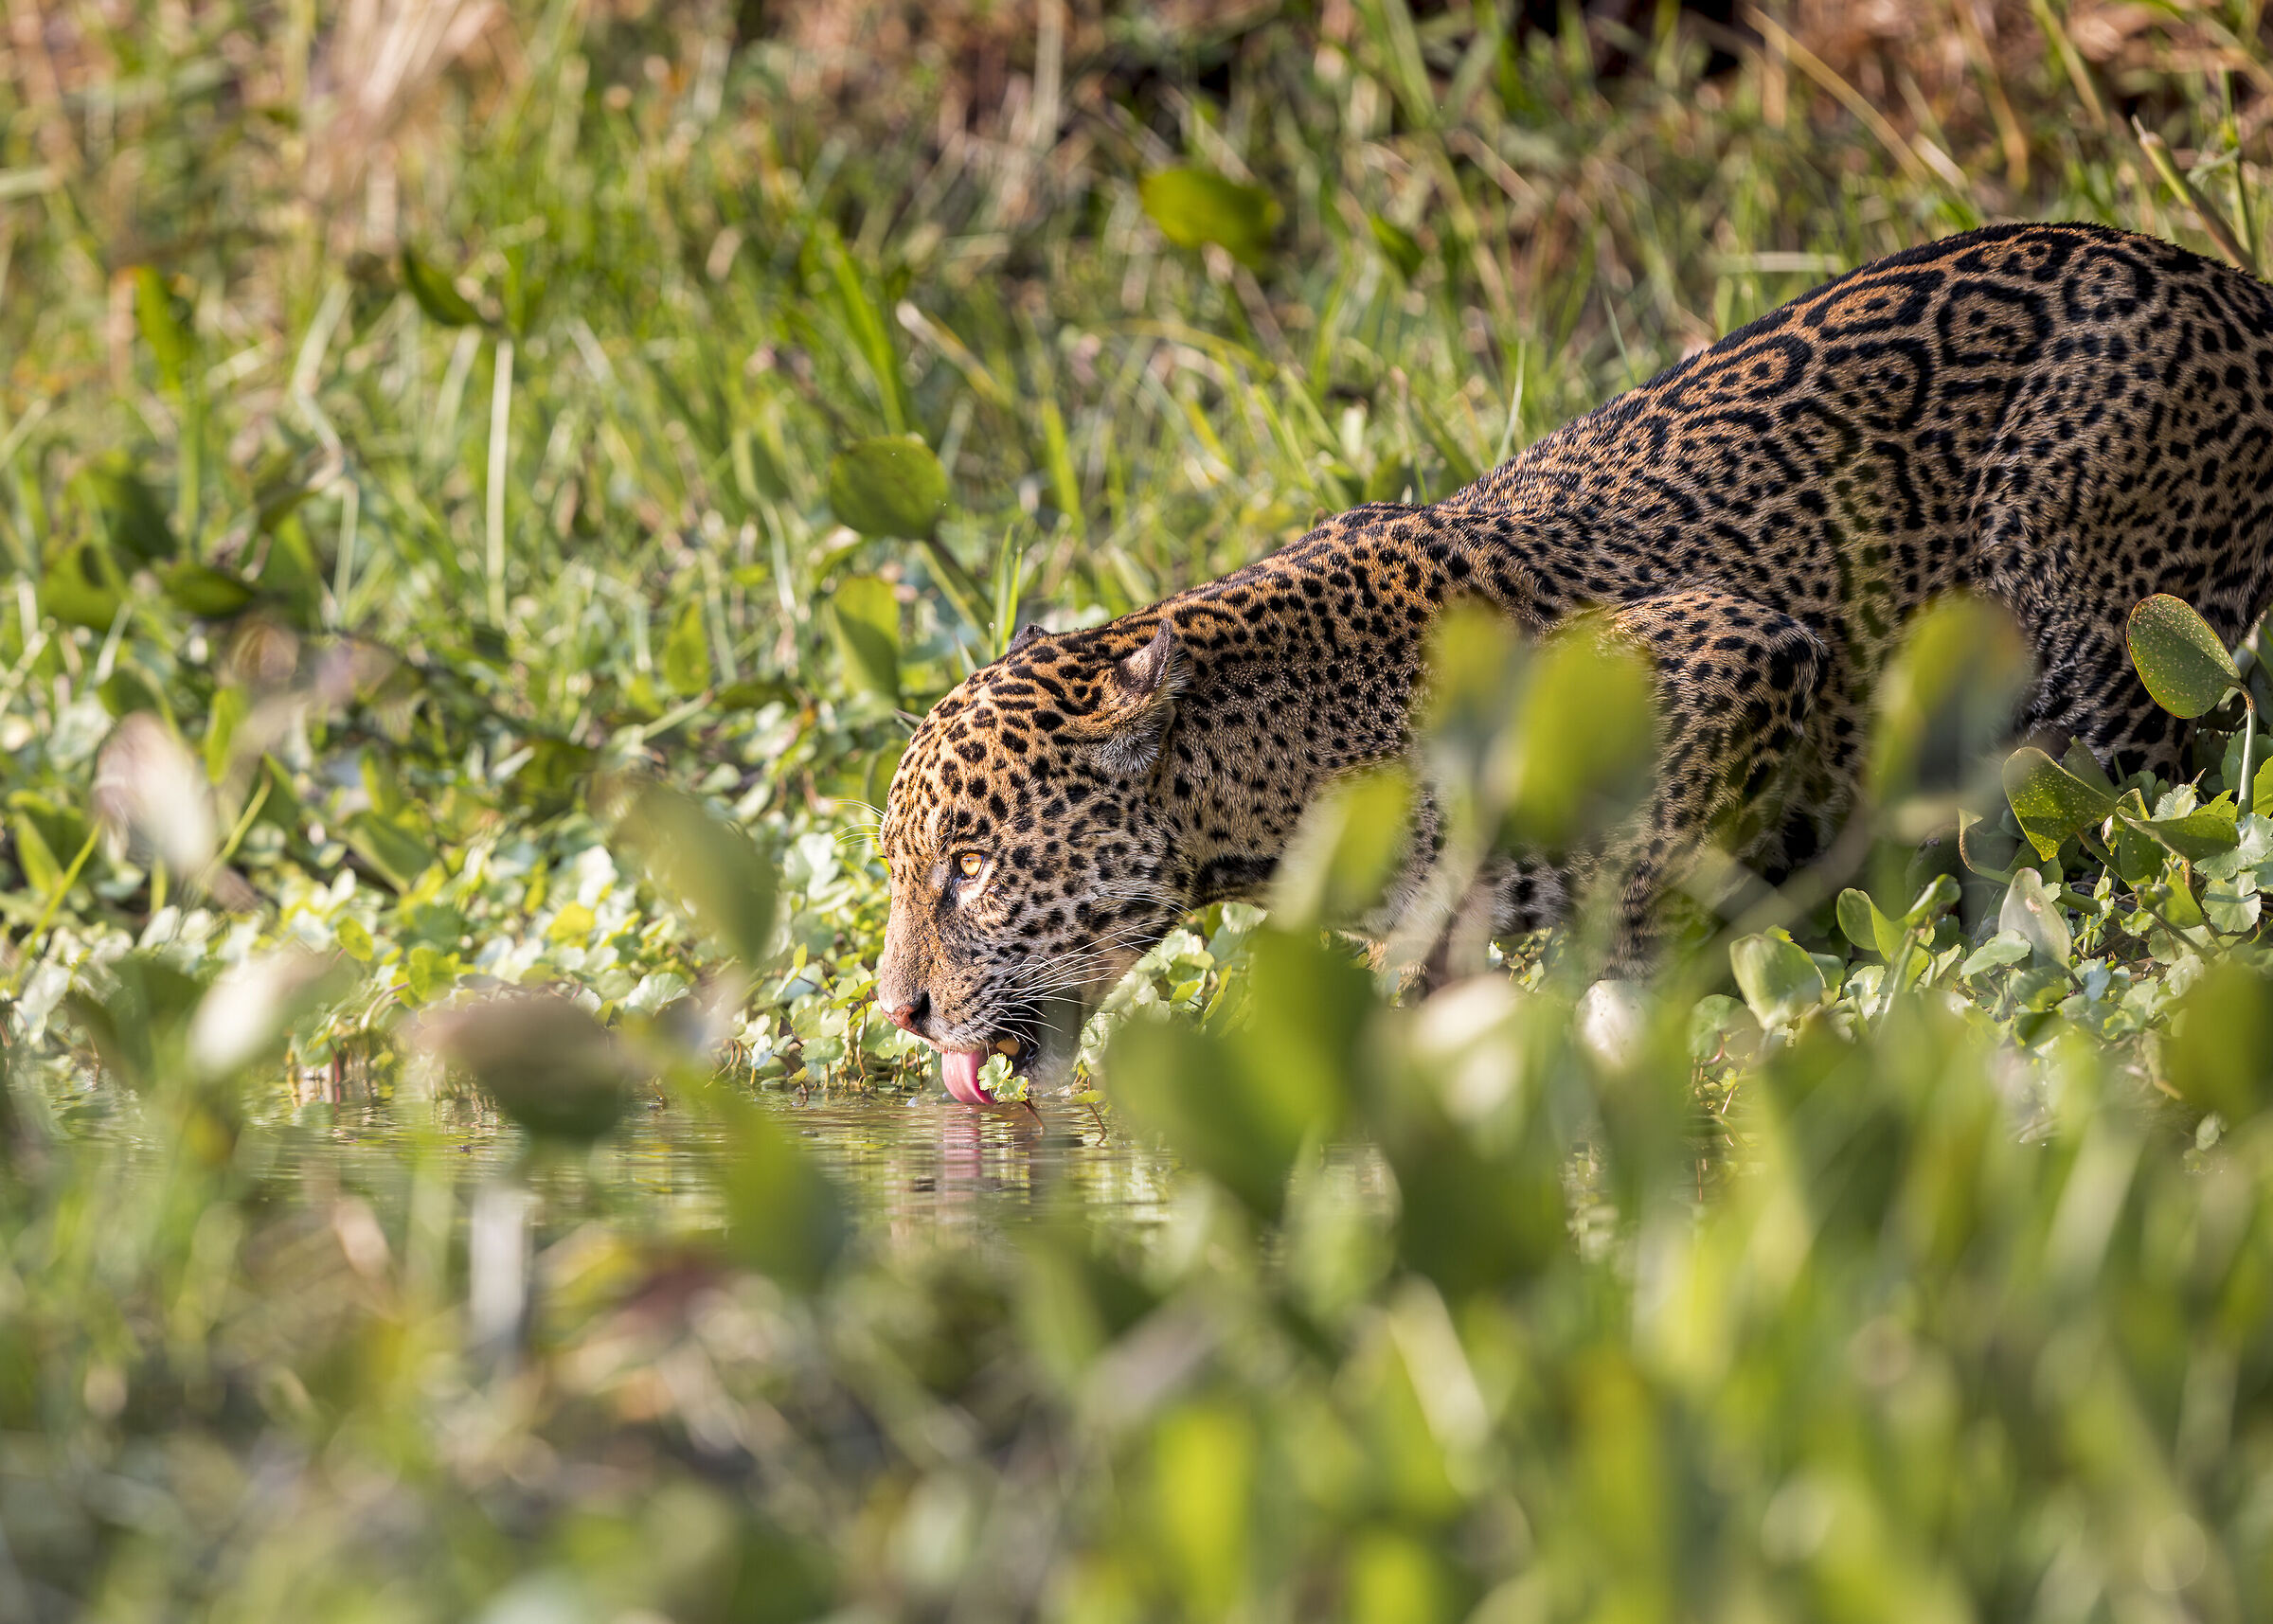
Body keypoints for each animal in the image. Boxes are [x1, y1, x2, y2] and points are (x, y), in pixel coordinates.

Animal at [874, 222, 2273, 1102]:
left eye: (971, 868)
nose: (899, 1013)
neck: (1281, 774)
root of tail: (2220, 277)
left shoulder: (1739, 647)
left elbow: (1640, 883)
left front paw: (1631, 1011)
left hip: (2108, 640)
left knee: (2125, 830)